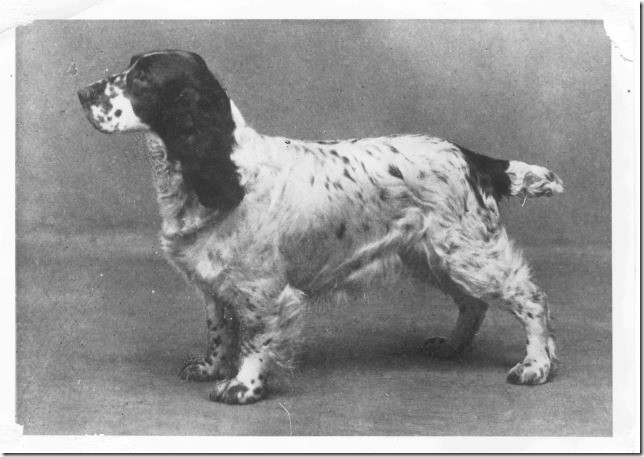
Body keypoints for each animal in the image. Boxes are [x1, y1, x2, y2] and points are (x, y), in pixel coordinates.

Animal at [79, 50, 564, 404]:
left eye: (142, 79)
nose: (83, 92)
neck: (224, 169)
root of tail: (471, 157)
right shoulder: (213, 283)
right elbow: (219, 330)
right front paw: (210, 368)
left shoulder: (265, 290)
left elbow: (255, 339)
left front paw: (242, 386)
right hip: (432, 256)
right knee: (473, 304)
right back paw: (450, 347)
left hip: (467, 252)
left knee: (530, 297)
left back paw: (536, 366)